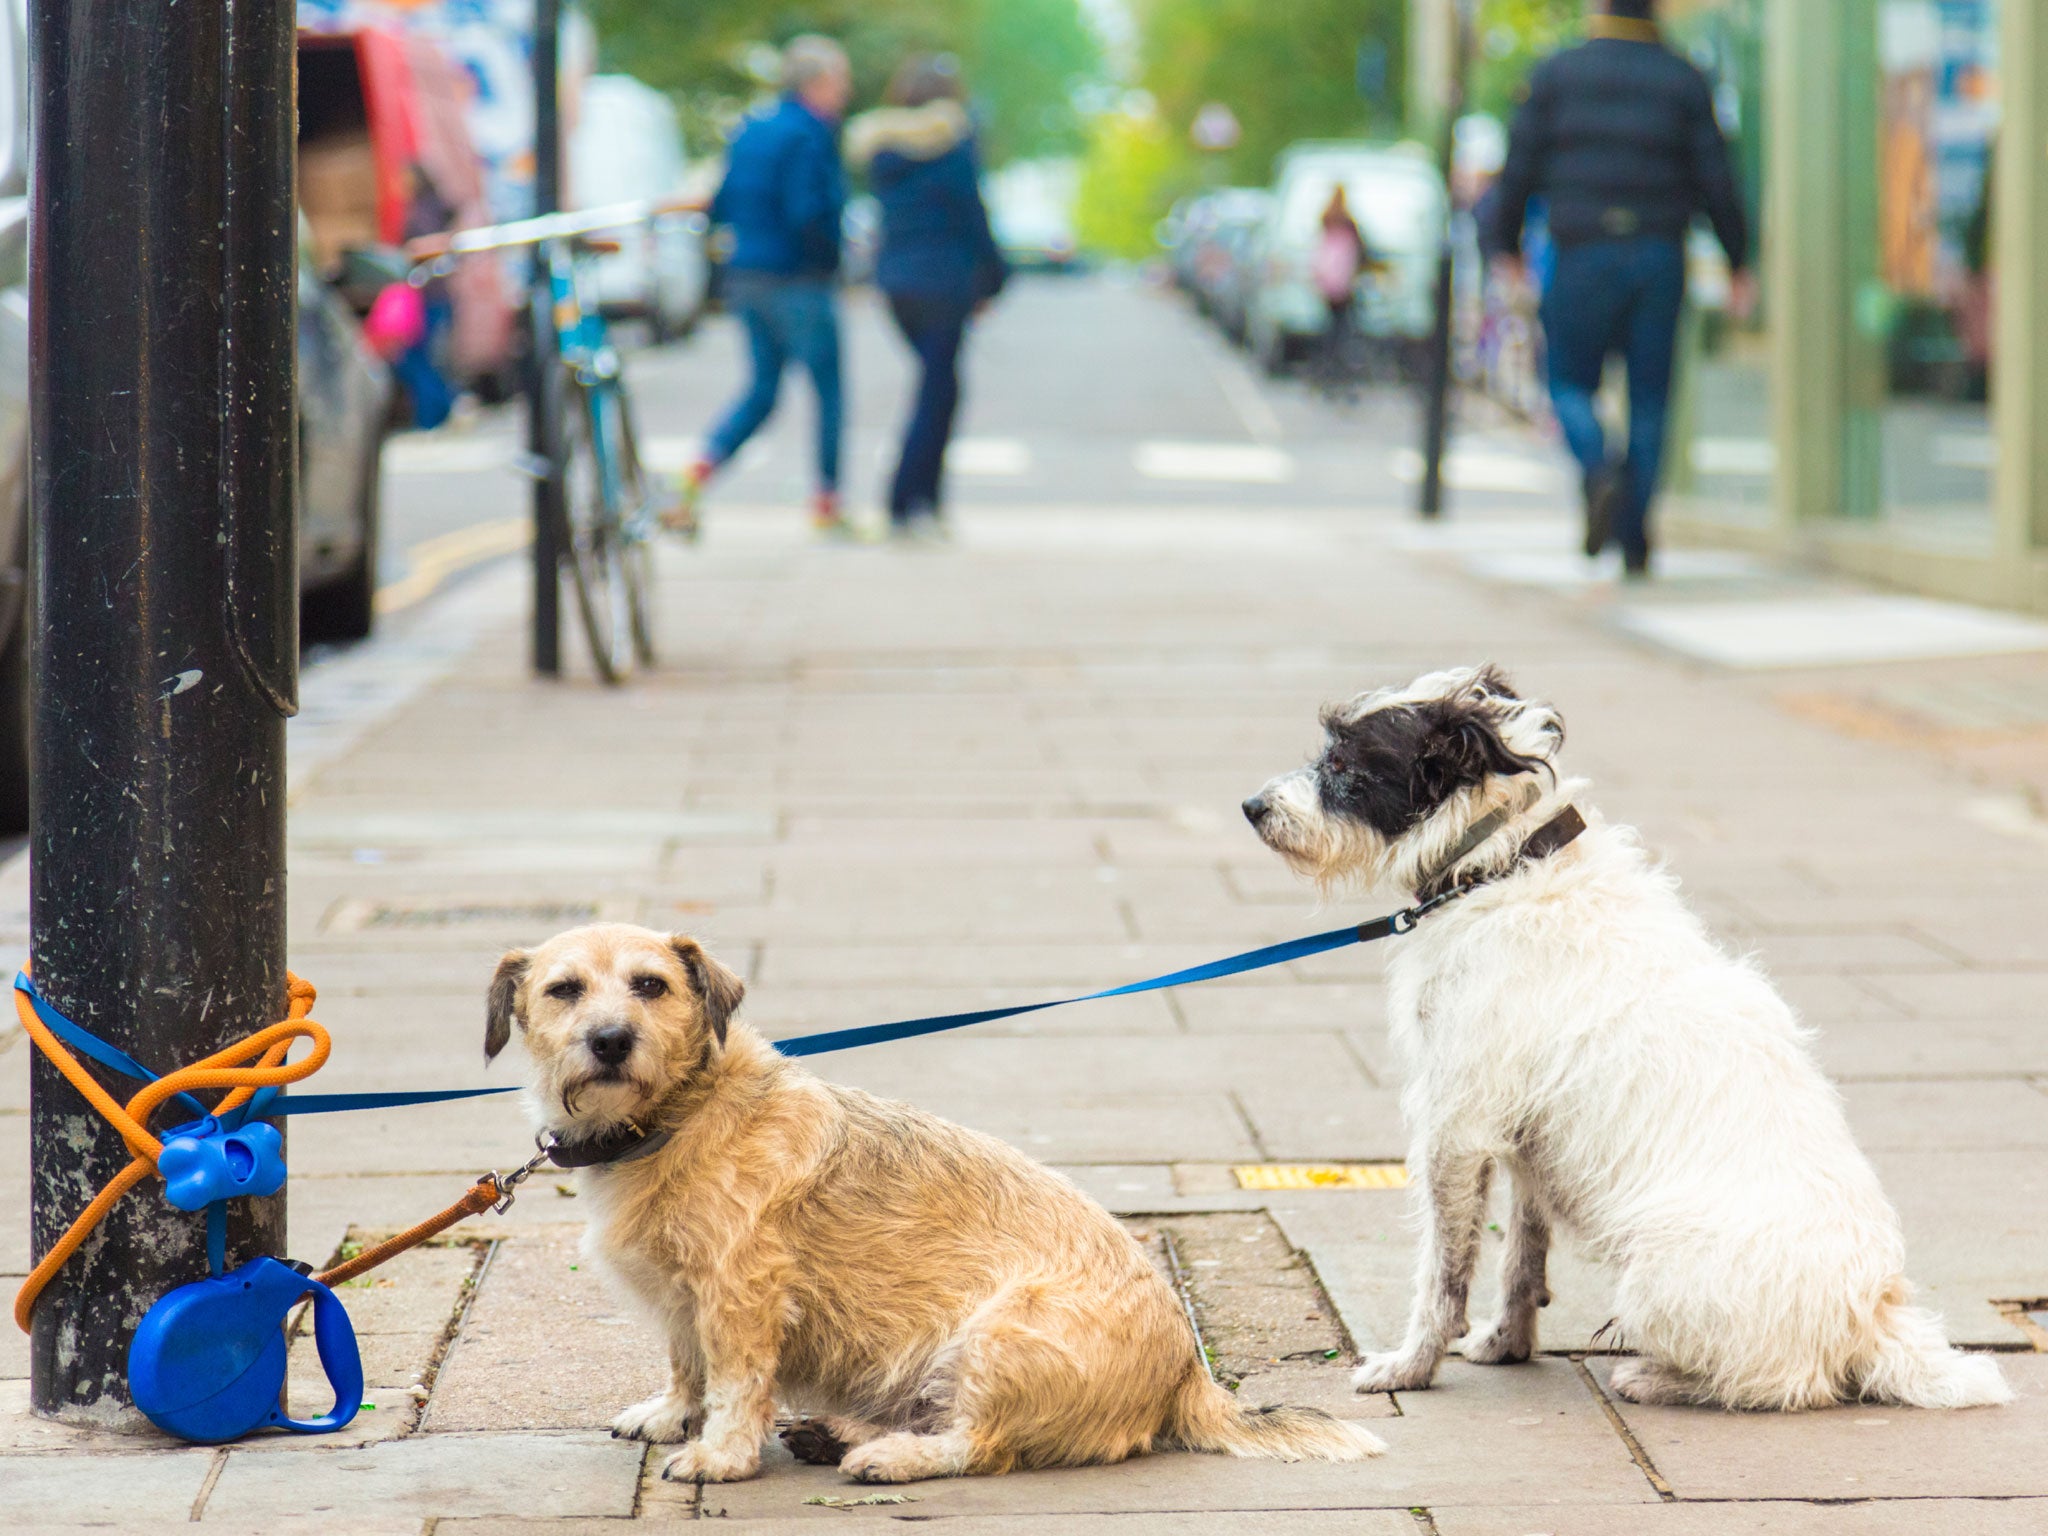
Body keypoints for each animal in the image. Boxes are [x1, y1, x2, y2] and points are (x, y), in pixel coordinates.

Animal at [481, 933, 1384, 1482]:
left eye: (651, 985)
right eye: (564, 990)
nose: (609, 1041)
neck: (678, 1114)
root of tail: (1191, 1374)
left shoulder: (740, 1296)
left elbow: (735, 1382)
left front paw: (721, 1455)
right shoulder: (683, 1300)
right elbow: (684, 1363)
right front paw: (674, 1416)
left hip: (997, 1336)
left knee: (980, 1444)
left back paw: (890, 1458)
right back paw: (841, 1433)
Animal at [1236, 667, 2007, 1417]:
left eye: (1344, 763)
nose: (1251, 806)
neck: (1501, 864)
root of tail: (1871, 1318)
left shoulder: (1456, 1127)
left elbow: (1444, 1271)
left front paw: (1410, 1367)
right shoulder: (1522, 1139)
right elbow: (1521, 1256)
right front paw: (1508, 1344)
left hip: (1657, 1274)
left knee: (1789, 1385)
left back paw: (1654, 1379)